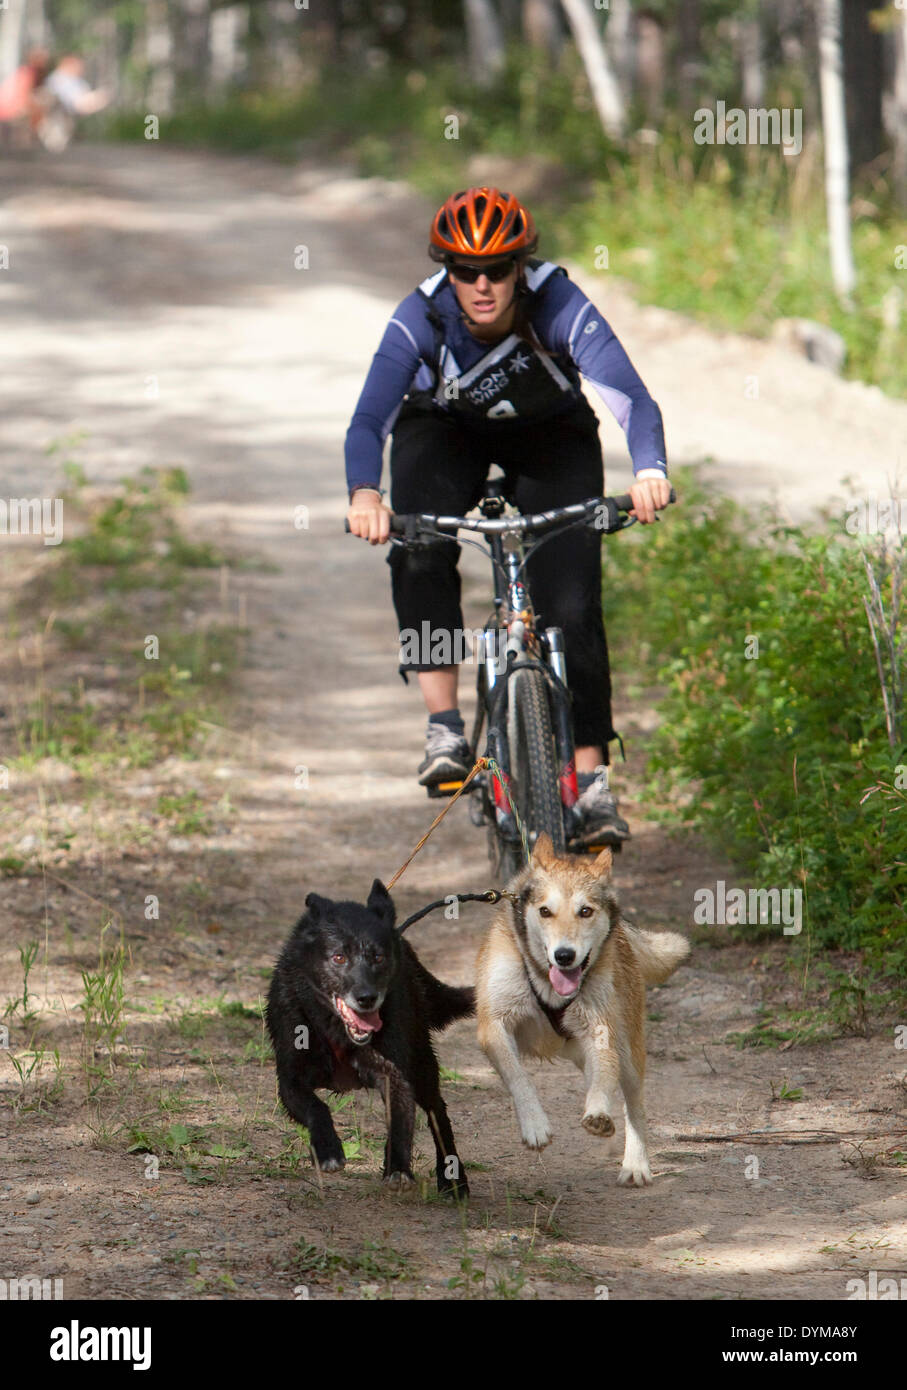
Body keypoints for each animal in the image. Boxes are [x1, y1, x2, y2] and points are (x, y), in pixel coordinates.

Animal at [263, 878, 469, 1195]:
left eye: (378, 957)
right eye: (339, 957)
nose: (367, 998)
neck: (336, 1030)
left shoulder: (395, 1074)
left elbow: (400, 1120)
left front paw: (397, 1166)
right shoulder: (290, 1081)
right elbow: (316, 1107)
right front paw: (328, 1149)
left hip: (422, 1064)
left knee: (437, 1111)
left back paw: (453, 1178)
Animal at [475, 828, 686, 1189]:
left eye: (585, 911)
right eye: (545, 911)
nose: (564, 956)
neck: (547, 986)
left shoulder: (601, 1030)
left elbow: (604, 1081)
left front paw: (598, 1113)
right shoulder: (494, 1025)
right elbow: (518, 1075)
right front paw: (534, 1124)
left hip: (627, 1052)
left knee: (632, 1102)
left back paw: (635, 1162)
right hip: (578, 1050)